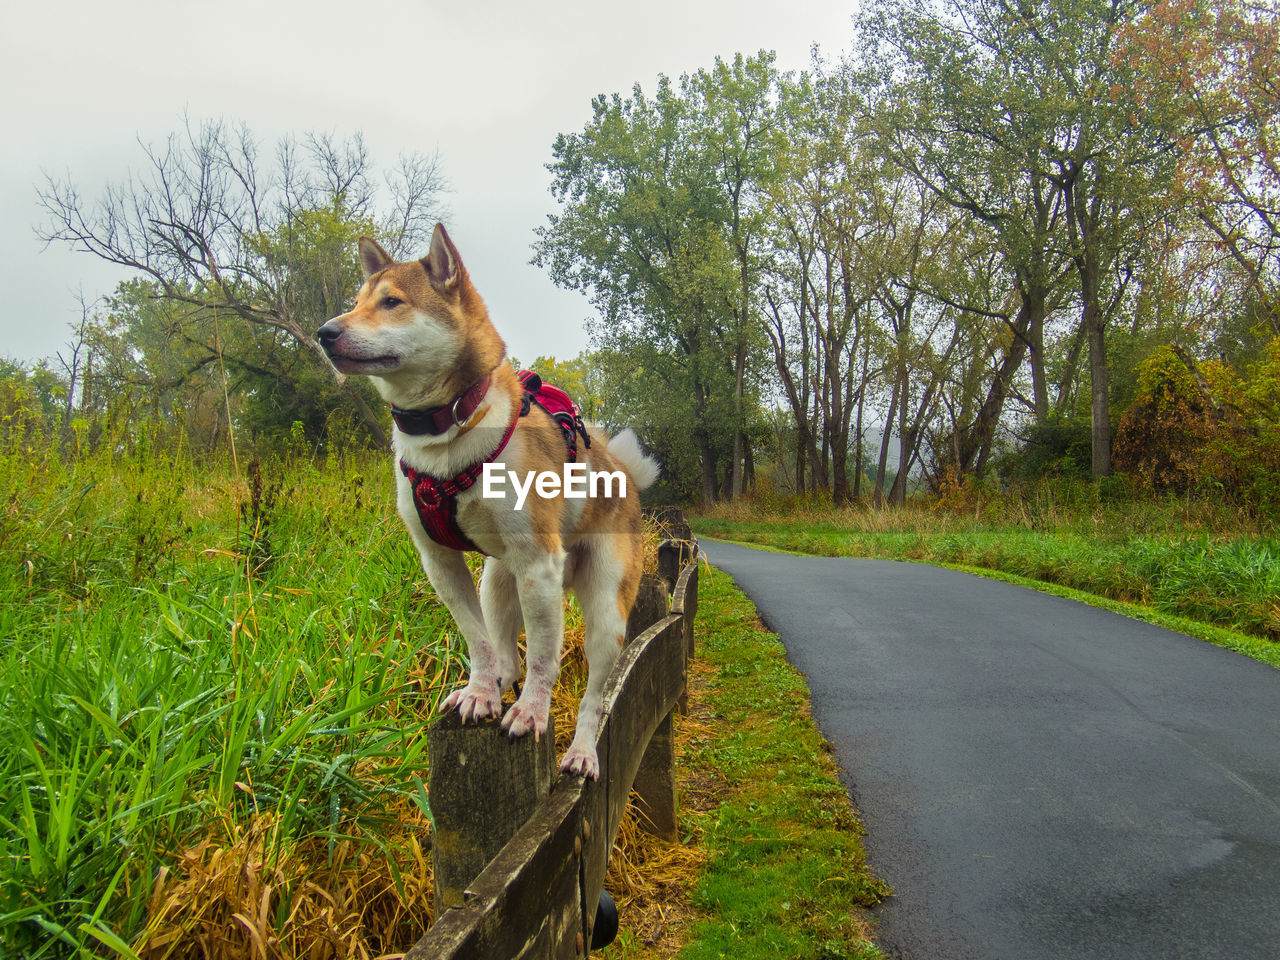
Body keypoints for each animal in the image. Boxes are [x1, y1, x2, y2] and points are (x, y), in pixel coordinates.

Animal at [314, 225, 660, 783]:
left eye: (391, 302)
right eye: (358, 301)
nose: (324, 332)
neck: (449, 432)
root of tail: (624, 474)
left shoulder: (538, 562)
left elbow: (543, 660)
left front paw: (532, 712)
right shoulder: (440, 561)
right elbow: (477, 641)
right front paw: (480, 693)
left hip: (604, 613)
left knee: (594, 698)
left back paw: (582, 751)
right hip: (498, 580)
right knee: (505, 653)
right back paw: (494, 686)